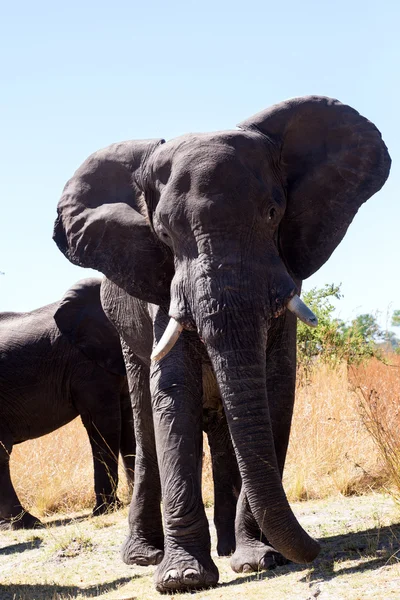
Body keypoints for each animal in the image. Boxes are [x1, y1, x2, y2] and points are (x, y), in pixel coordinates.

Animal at [51, 94, 390, 592]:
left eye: (272, 214)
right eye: (164, 234)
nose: (315, 551)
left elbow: (274, 388)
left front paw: (259, 561)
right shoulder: (160, 286)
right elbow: (172, 393)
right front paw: (183, 580)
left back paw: (231, 550)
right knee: (148, 426)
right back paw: (144, 557)